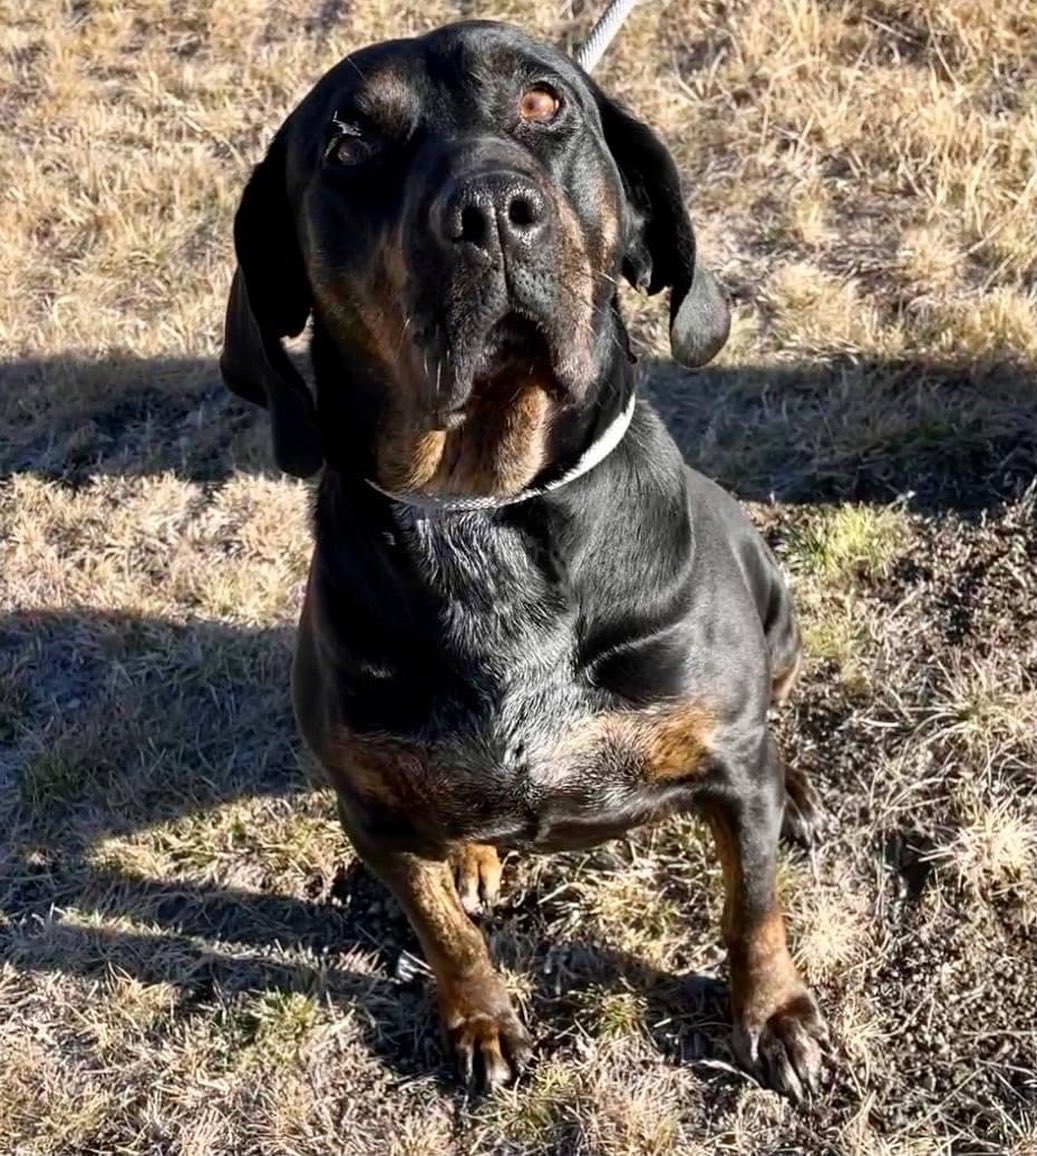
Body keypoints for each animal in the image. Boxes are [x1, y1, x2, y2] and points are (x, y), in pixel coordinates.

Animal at [218, 20, 823, 1100]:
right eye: (348, 144)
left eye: (546, 103)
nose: (493, 211)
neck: (486, 509)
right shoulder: (370, 811)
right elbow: (440, 929)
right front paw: (478, 1017)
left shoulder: (726, 765)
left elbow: (751, 905)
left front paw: (773, 1014)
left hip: (778, 616)